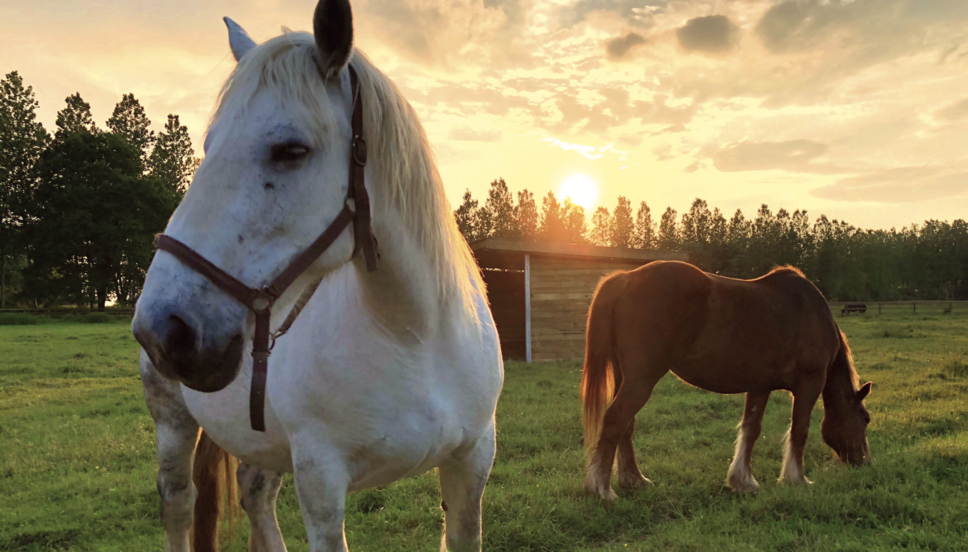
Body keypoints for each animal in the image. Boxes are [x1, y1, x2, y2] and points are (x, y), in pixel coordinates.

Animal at [131, 2, 502, 548]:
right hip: (172, 421)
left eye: (291, 149)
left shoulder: (471, 462)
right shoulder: (321, 482)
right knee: (179, 503)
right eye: (208, 145)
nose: (163, 328)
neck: (413, 335)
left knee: (255, 493)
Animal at [580, 260, 872, 498]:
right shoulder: (809, 383)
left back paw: (633, 479)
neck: (811, 312)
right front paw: (796, 479)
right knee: (616, 418)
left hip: (625, 377)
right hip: (641, 379)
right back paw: (601, 489)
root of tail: (626, 278)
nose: (865, 462)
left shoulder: (760, 386)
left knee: (625, 425)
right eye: (865, 419)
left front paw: (743, 481)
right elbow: (799, 431)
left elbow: (751, 429)